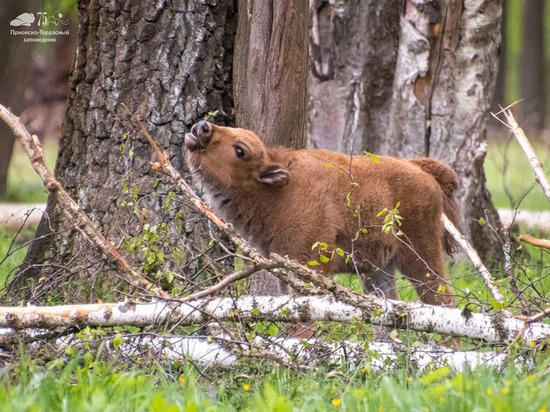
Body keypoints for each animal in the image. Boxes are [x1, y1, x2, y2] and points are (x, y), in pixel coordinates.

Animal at [185, 120, 462, 308]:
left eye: (240, 151)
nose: (202, 127)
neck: (278, 191)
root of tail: (422, 170)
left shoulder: (310, 263)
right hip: (379, 270)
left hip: (421, 256)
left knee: (442, 300)